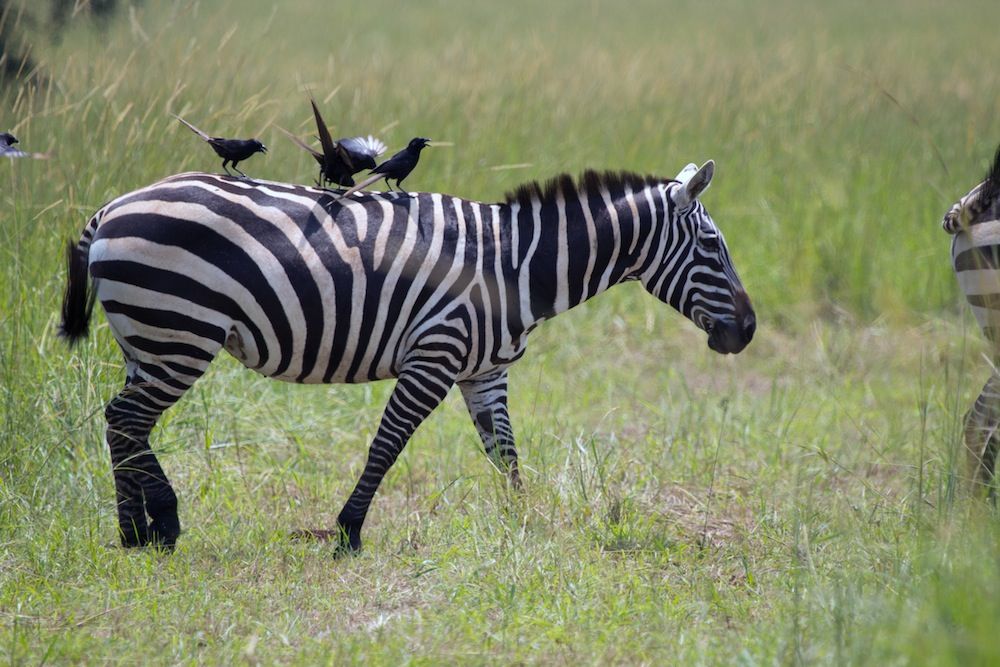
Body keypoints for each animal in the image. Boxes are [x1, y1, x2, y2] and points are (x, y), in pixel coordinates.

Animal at [58, 162, 752, 552]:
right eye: (713, 247)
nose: (746, 331)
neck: (514, 268)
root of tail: (110, 208)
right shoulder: (435, 356)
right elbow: (386, 446)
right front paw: (347, 532)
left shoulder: (484, 370)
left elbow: (505, 454)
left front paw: (522, 525)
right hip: (179, 331)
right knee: (126, 420)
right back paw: (155, 526)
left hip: (150, 339)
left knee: (124, 423)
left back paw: (138, 530)